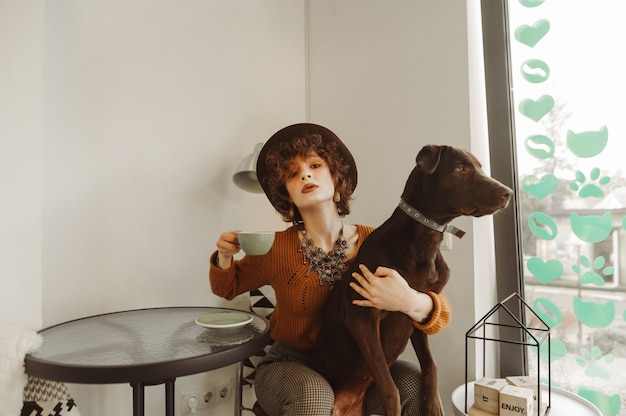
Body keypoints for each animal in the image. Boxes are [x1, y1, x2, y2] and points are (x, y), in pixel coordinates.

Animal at [310, 145, 510, 414]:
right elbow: (389, 387)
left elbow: (431, 366)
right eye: (460, 168)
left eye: (479, 167)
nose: (509, 193)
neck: (426, 240)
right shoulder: (362, 318)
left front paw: (433, 405)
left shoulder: (417, 311)